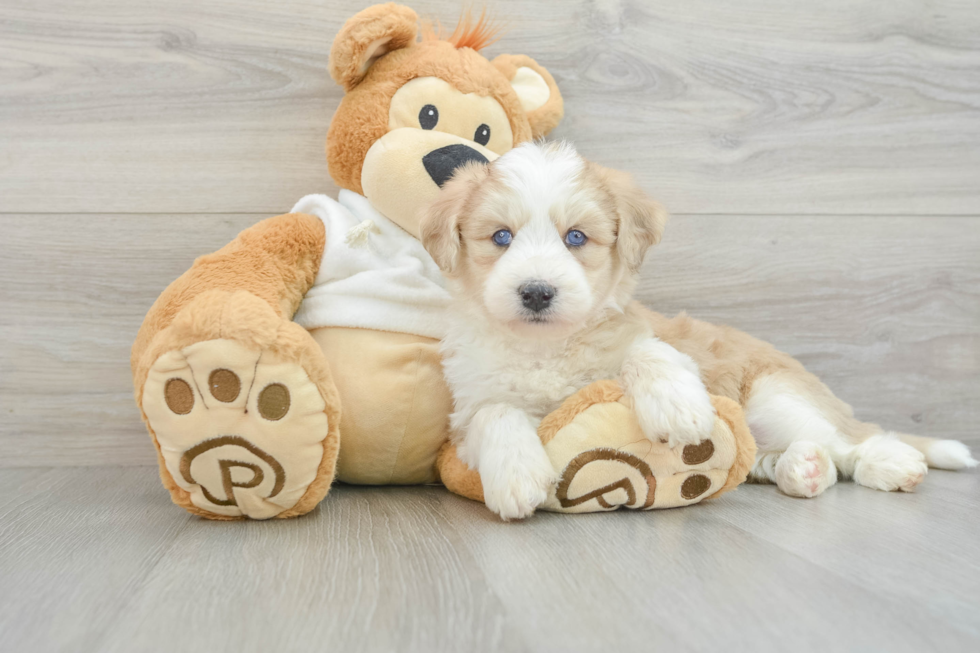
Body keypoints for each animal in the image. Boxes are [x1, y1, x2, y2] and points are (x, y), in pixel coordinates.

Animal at [418, 141, 976, 520]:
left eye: (575, 237)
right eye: (501, 237)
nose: (536, 292)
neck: (545, 347)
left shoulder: (646, 337)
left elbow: (649, 352)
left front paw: (677, 407)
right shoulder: (465, 415)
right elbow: (495, 412)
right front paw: (516, 474)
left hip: (775, 398)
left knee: (852, 441)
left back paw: (890, 462)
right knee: (790, 458)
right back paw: (803, 470)